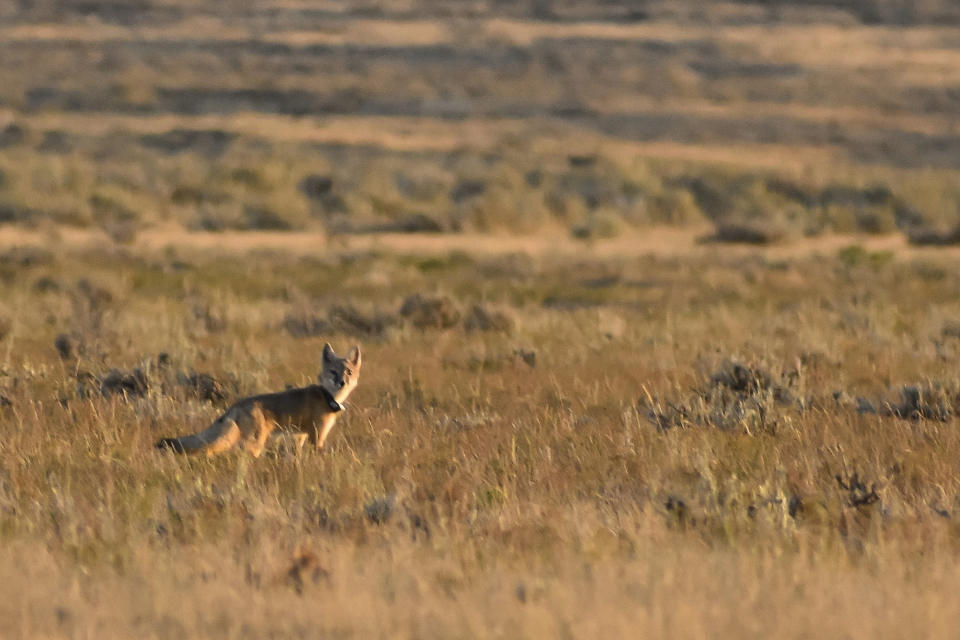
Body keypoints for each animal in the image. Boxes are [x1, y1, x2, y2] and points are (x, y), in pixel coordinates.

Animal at [158, 344, 360, 456]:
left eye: (349, 372)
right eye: (333, 372)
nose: (342, 382)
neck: (327, 397)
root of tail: (235, 405)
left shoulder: (301, 436)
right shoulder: (317, 438)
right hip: (255, 442)